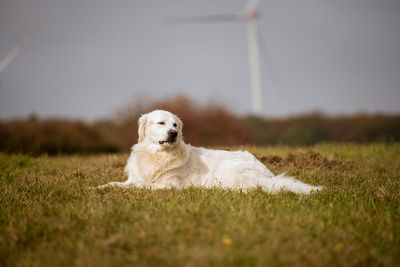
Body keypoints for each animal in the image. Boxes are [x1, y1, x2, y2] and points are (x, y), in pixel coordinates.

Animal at [99, 109, 322, 195]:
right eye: (161, 123)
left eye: (175, 125)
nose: (173, 133)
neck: (159, 155)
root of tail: (268, 173)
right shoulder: (133, 178)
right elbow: (116, 183)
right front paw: (100, 187)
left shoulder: (170, 185)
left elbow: (145, 186)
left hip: (228, 169)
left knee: (249, 188)